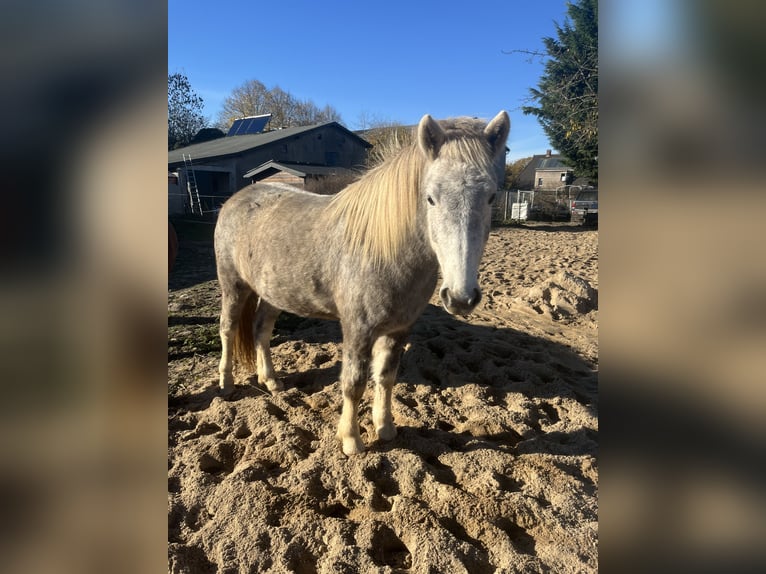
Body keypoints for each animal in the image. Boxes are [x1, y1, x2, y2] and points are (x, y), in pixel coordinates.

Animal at [214, 111, 510, 455]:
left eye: (490, 196)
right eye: (430, 198)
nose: (461, 298)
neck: (383, 250)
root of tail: (236, 199)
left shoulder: (399, 329)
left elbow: (386, 377)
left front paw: (386, 428)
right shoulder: (357, 328)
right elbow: (353, 383)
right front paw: (351, 440)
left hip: (273, 293)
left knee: (261, 330)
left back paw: (271, 381)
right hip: (233, 285)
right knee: (228, 329)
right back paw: (226, 384)